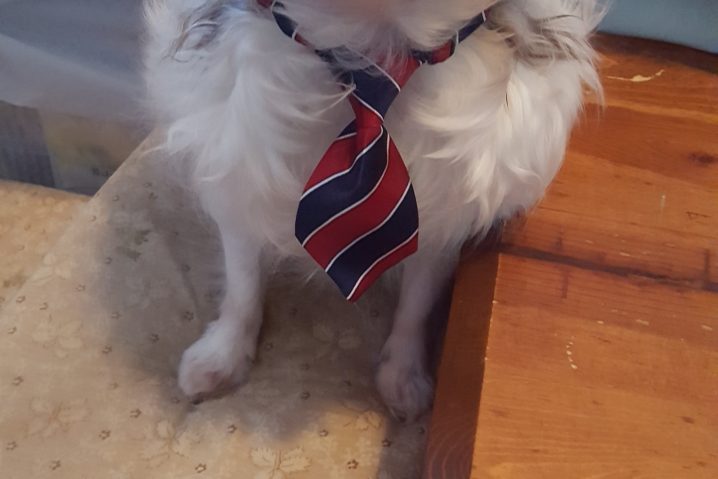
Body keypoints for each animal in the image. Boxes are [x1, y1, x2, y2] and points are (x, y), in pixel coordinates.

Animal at [143, 0, 602, 420]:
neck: (370, 53)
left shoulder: (442, 219)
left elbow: (417, 301)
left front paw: (403, 375)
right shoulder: (239, 180)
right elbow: (242, 283)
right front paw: (223, 353)